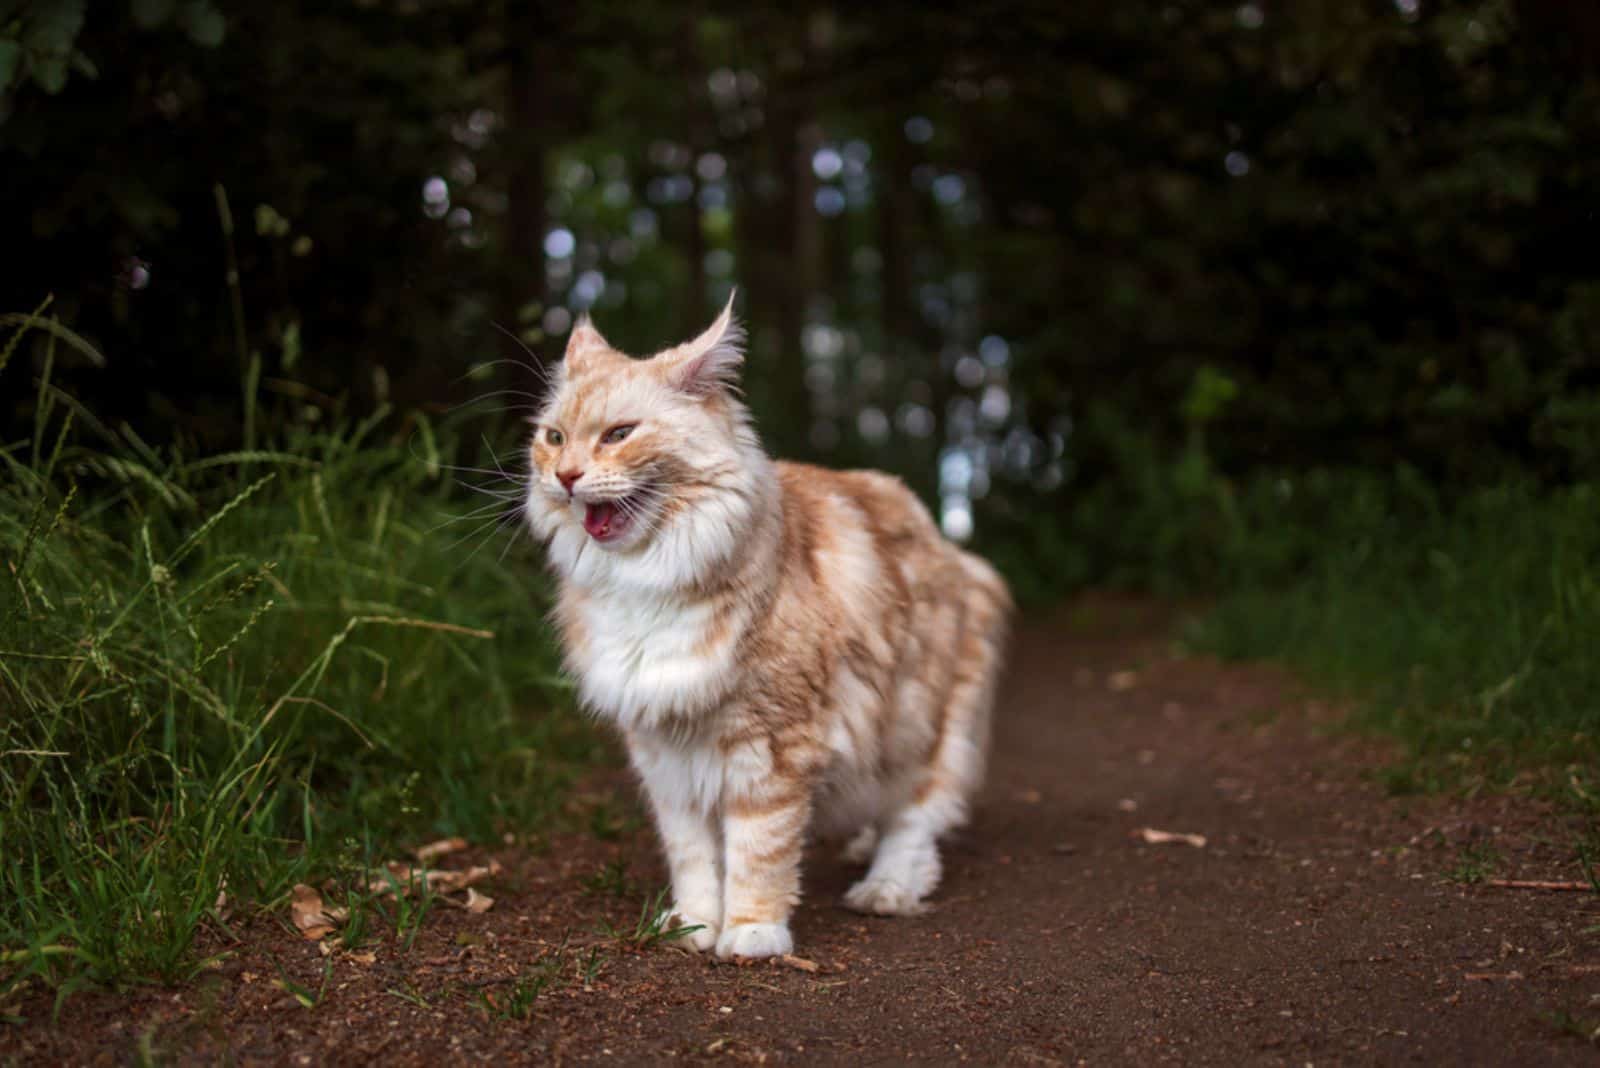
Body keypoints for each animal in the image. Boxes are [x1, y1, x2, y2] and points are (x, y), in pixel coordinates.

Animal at [521, 298, 1011, 959]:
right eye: (553, 438)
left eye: (619, 435)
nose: (566, 476)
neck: (645, 581)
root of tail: (955, 551)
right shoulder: (664, 754)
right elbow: (694, 857)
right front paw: (695, 926)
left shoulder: (772, 747)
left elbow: (760, 851)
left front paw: (752, 933)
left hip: (913, 722)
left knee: (913, 821)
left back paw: (884, 889)